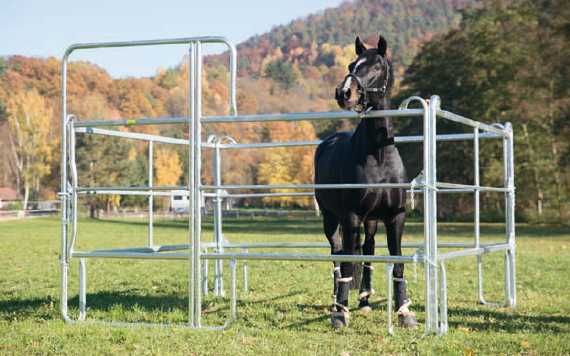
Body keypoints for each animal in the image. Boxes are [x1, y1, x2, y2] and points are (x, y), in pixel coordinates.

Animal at [312, 35, 414, 328]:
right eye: (351, 64)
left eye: (377, 66)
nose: (344, 92)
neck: (378, 155)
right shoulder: (351, 216)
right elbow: (347, 262)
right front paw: (340, 314)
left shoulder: (395, 216)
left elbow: (397, 262)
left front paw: (404, 312)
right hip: (332, 219)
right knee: (337, 253)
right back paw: (337, 300)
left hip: (371, 221)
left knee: (367, 249)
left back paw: (365, 300)